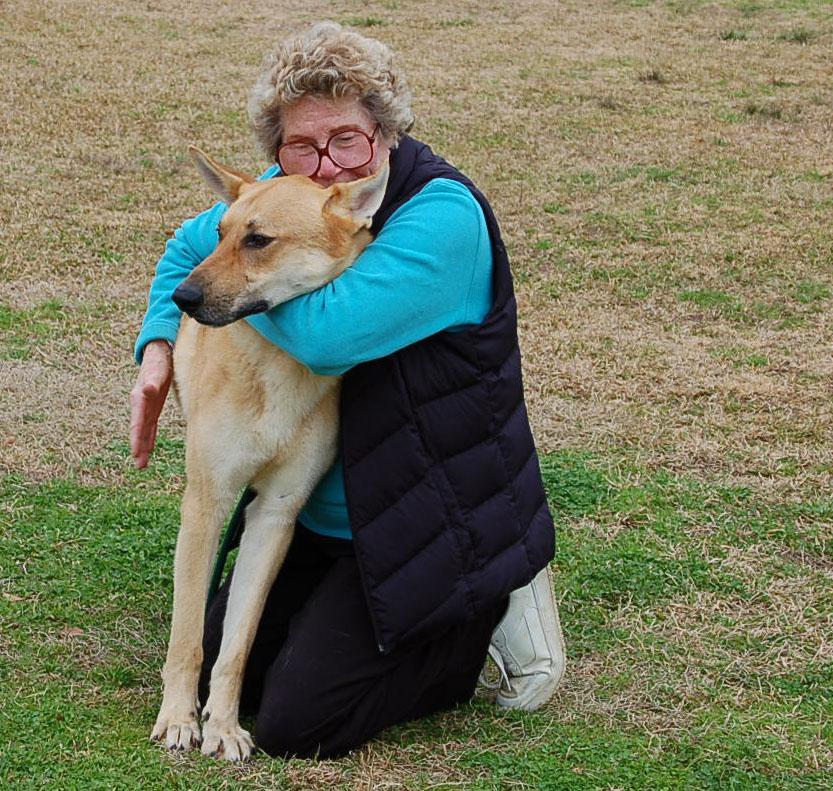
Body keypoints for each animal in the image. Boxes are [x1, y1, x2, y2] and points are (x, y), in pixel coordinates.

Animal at [150, 147, 389, 761]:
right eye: (220, 233)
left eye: (259, 240)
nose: (180, 298)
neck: (276, 371)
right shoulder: (207, 504)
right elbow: (189, 637)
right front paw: (179, 719)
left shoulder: (275, 514)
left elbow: (236, 645)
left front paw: (224, 725)